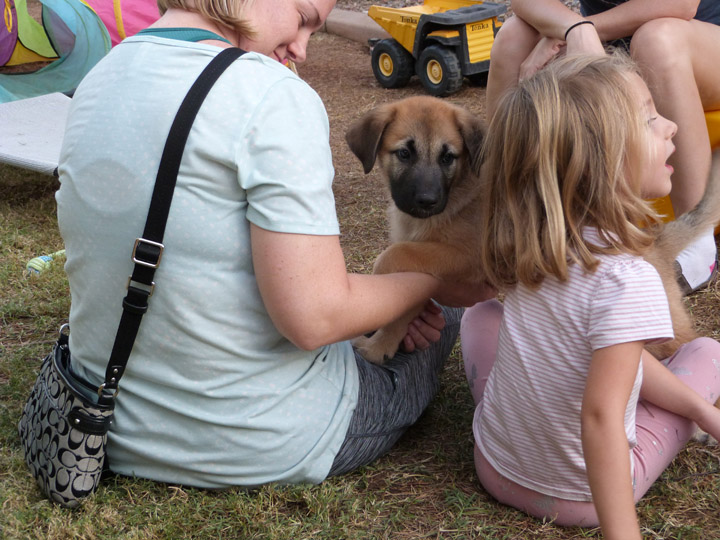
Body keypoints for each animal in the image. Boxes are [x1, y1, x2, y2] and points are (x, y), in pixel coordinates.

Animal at [346, 96, 486, 368]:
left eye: (447, 157)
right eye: (404, 153)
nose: (427, 201)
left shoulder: (469, 255)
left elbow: (393, 254)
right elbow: (407, 305)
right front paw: (382, 346)